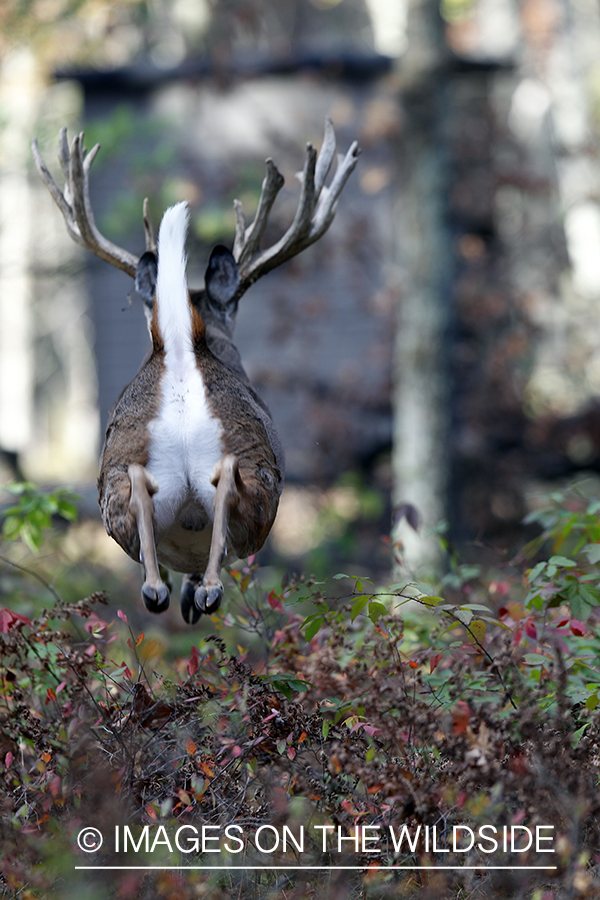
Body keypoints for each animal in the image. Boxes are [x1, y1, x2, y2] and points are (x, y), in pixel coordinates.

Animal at [31, 119, 356, 624]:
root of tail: (183, 351)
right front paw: (191, 592)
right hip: (258, 484)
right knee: (231, 495)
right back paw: (203, 592)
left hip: (117, 472)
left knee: (137, 497)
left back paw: (161, 591)